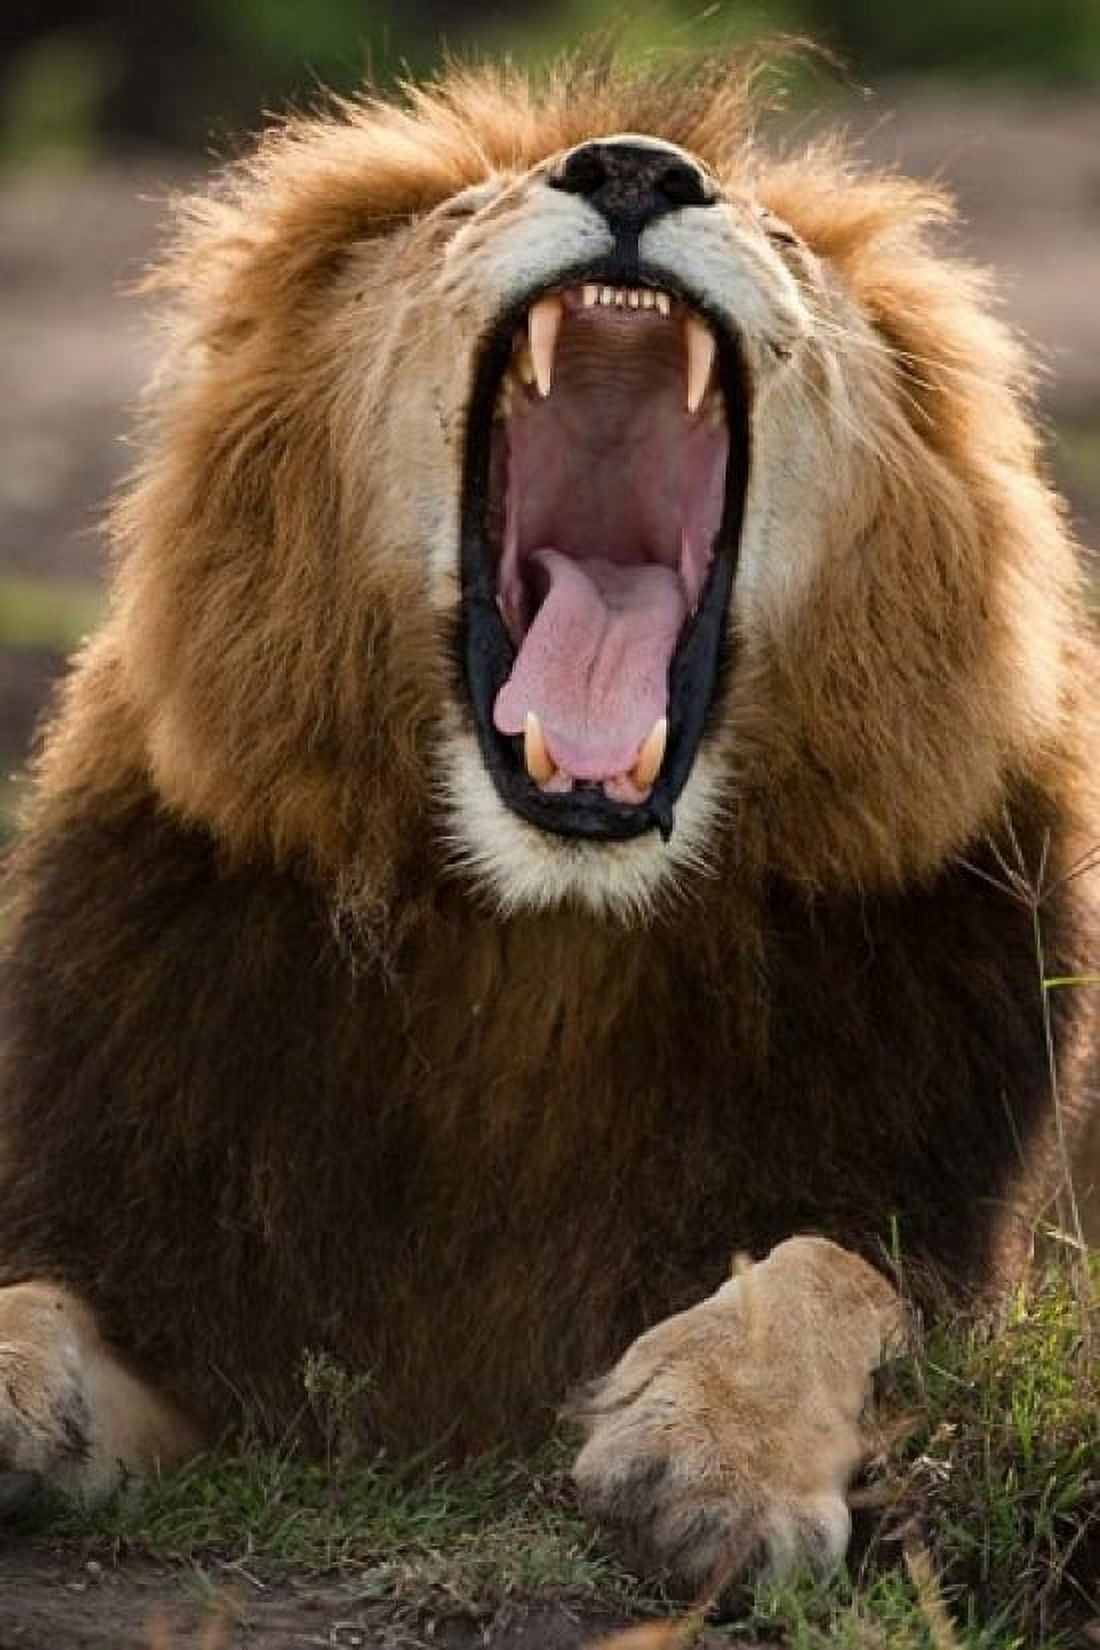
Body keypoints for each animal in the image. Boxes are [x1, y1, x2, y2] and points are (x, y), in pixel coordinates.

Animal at [0, 52, 1096, 1589]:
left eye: (784, 239)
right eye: (466, 211)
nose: (635, 170)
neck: (551, 929)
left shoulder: (946, 1240)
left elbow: (835, 1271)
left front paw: (715, 1448)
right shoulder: (182, 1299)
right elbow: (34, 1293)